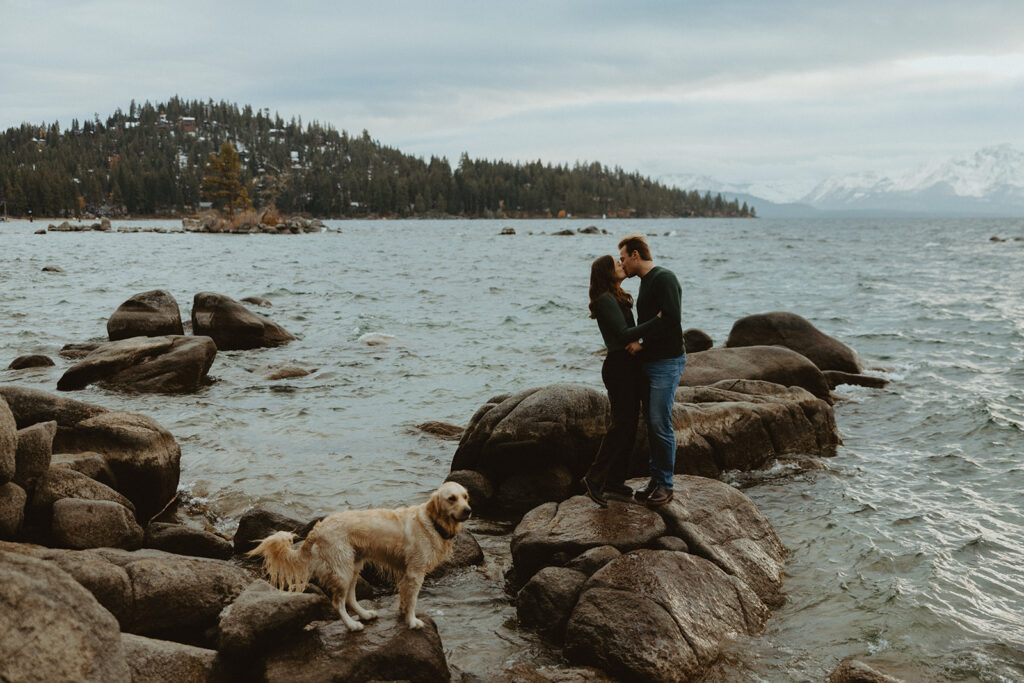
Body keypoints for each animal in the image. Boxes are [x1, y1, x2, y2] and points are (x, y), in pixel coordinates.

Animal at [247, 481, 471, 630]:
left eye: (466, 496)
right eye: (451, 498)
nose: (468, 510)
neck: (432, 523)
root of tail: (318, 529)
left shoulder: (406, 573)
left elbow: (405, 597)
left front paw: (403, 614)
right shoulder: (415, 572)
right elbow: (413, 600)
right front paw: (413, 621)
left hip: (353, 566)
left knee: (350, 598)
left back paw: (364, 614)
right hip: (342, 568)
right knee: (338, 602)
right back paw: (352, 625)